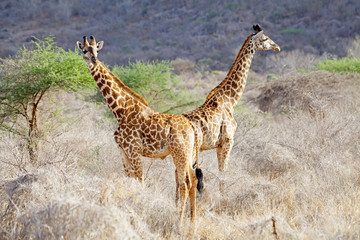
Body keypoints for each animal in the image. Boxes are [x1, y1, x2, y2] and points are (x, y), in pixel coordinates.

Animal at [76, 35, 202, 225]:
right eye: (84, 50)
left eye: (97, 51)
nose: (94, 60)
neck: (120, 110)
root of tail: (192, 128)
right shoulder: (123, 151)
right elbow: (129, 181)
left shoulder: (134, 151)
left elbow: (140, 182)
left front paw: (138, 212)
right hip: (187, 155)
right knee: (192, 180)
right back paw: (192, 221)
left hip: (180, 154)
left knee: (185, 183)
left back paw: (179, 222)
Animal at [184, 24, 280, 178]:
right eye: (265, 38)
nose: (277, 47)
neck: (230, 100)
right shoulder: (228, 141)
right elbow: (224, 171)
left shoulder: (219, 145)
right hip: (192, 149)